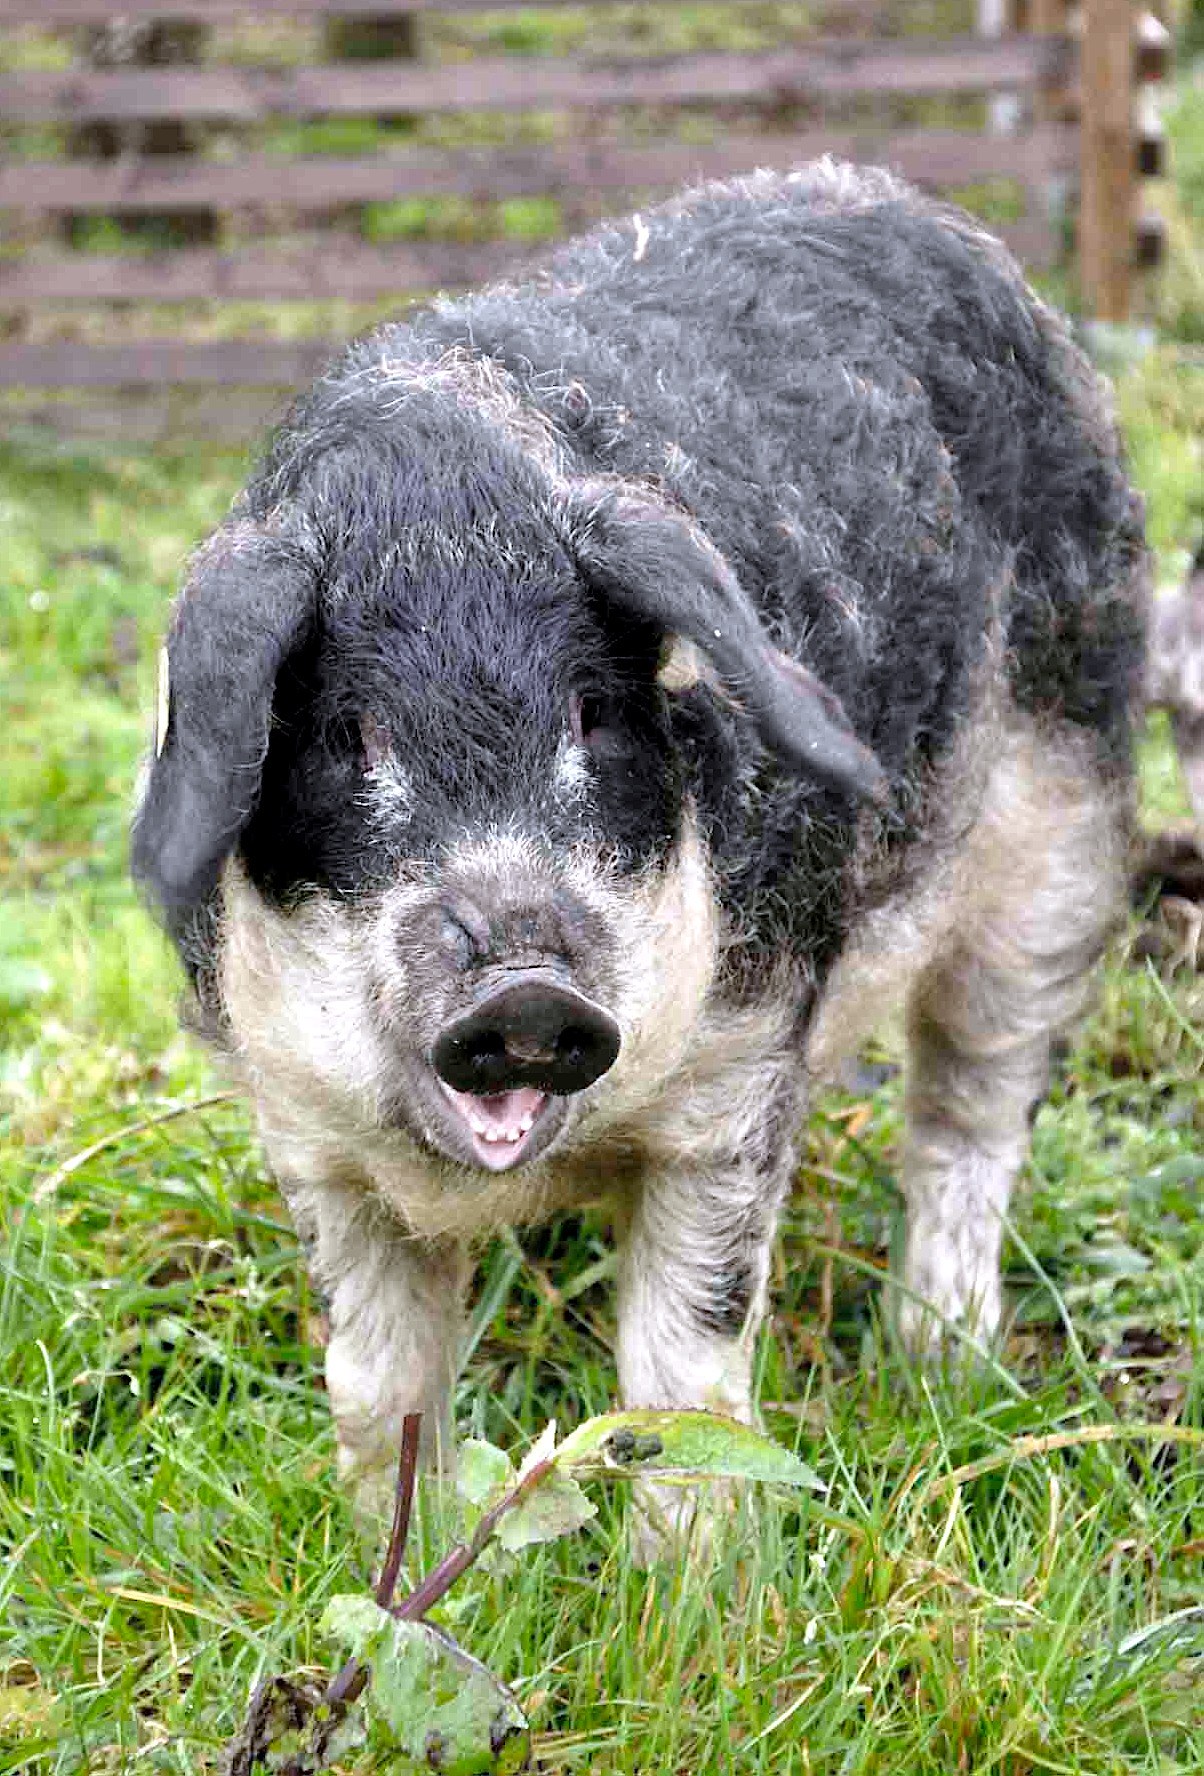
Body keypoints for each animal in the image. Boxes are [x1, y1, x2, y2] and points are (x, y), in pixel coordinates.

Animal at [132, 156, 1150, 1541]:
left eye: (594, 715)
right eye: (347, 739)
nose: (522, 987)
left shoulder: (740, 1069)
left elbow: (683, 1375)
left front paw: (701, 1585)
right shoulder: (306, 1134)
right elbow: (379, 1382)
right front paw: (405, 1556)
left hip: (1063, 839)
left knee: (971, 1112)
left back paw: (940, 1367)